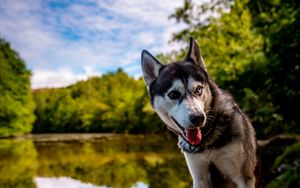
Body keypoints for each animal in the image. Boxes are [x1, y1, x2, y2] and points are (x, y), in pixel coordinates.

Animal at [140, 37, 255, 187]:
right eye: (173, 94)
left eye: (198, 89)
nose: (198, 118)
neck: (206, 143)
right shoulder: (200, 177)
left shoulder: (243, 177)